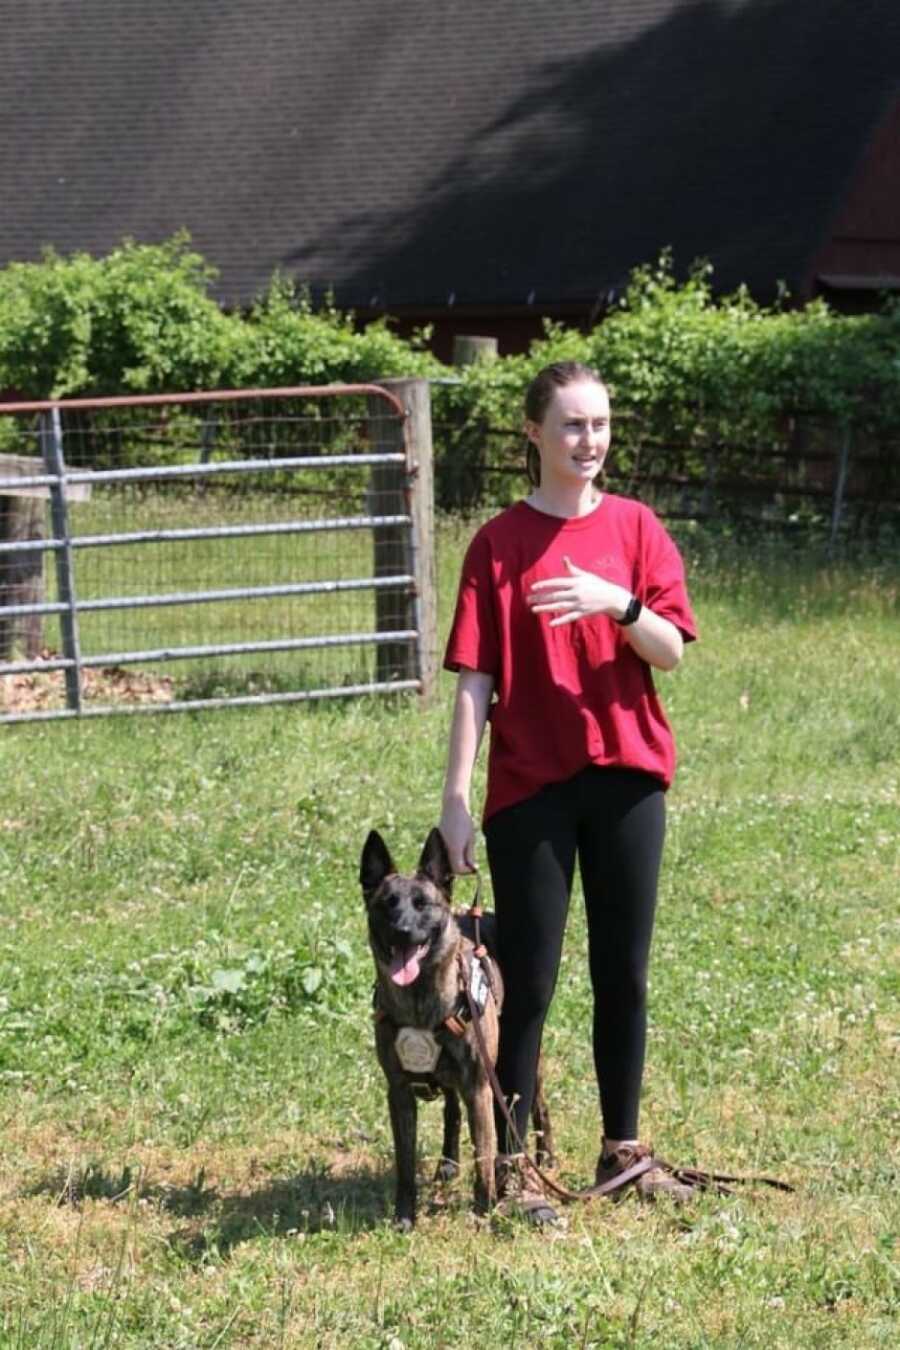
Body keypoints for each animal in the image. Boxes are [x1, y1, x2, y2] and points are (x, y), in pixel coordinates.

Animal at [361, 826, 553, 1231]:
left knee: (539, 1107)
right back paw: (448, 1165)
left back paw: (546, 1158)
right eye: (387, 904)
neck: (419, 1001)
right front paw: (404, 1217)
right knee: (452, 1112)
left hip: (527, 1060)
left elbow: (483, 1158)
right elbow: (405, 1166)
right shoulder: (399, 1093)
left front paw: (482, 1213)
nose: (402, 931)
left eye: (422, 904)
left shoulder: (479, 1087)